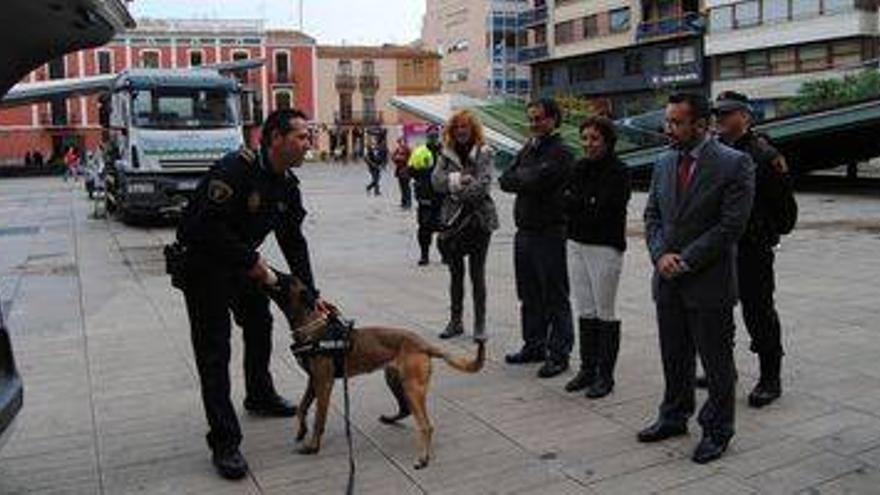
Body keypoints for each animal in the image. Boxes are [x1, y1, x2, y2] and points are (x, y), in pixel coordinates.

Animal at [268, 272, 488, 468]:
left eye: (286, 278)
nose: (270, 269)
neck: (311, 327)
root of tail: (423, 344)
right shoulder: (313, 381)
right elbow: (302, 407)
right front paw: (301, 431)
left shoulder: (323, 383)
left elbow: (318, 419)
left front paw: (313, 446)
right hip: (395, 379)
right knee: (405, 409)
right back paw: (391, 420)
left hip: (412, 387)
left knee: (426, 426)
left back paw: (423, 458)